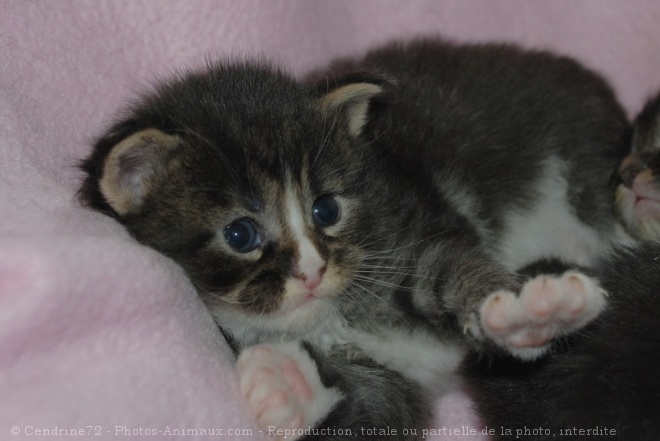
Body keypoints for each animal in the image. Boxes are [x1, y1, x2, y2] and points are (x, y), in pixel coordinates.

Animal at [80, 39, 632, 438]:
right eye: (240, 234)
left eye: (326, 209)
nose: (312, 271)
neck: (334, 320)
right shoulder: (396, 391)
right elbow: (379, 406)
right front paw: (290, 384)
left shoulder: (413, 225)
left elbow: (449, 267)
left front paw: (528, 312)